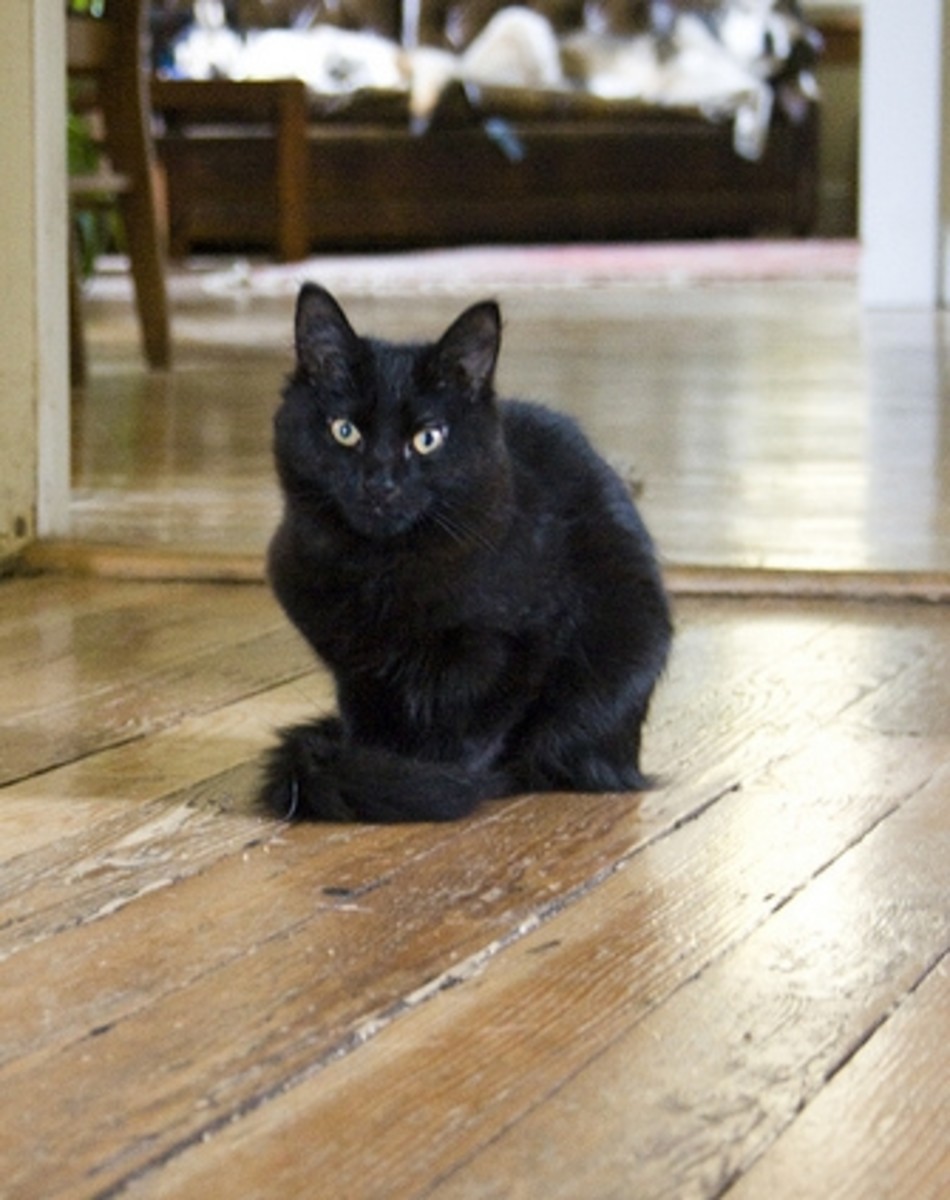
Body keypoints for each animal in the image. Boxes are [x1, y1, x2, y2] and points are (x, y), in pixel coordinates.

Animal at [263, 285, 671, 820]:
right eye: (345, 431)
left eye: (428, 438)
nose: (381, 483)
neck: (382, 571)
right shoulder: (355, 665)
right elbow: (370, 722)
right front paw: (382, 770)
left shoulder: (518, 641)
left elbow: (475, 725)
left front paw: (434, 782)